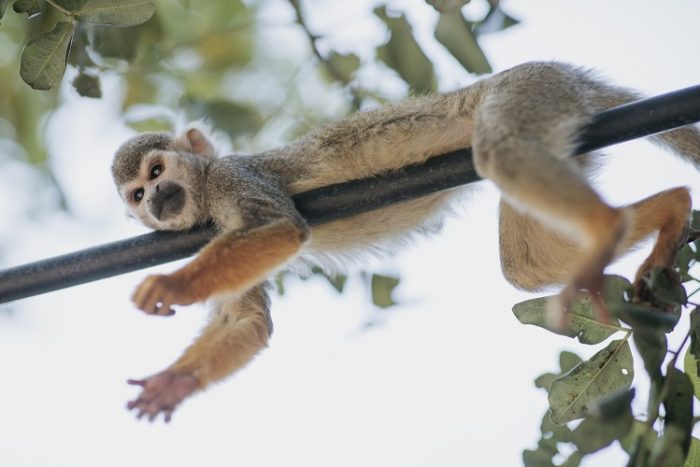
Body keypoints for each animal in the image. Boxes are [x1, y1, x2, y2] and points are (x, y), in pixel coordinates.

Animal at [112, 60, 696, 422]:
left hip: (529, 92)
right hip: (561, 134)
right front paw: (173, 385)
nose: (158, 199)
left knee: (503, 152)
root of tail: (561, 72)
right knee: (525, 263)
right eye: (137, 194)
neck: (204, 191)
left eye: (158, 171)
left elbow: (281, 229)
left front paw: (171, 285)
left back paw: (615, 226)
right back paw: (664, 211)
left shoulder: (231, 178)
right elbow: (248, 322)